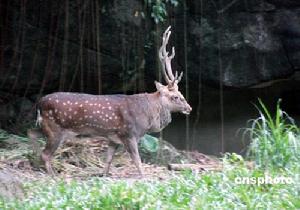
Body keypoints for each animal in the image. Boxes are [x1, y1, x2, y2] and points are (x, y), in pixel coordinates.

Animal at [28, 26, 192, 176]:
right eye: (176, 97)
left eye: (181, 93)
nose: (189, 108)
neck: (148, 116)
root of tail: (39, 103)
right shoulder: (129, 134)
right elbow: (137, 161)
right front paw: (143, 177)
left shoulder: (113, 138)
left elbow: (108, 160)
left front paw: (103, 175)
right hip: (55, 128)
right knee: (45, 153)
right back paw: (52, 175)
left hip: (46, 127)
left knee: (31, 133)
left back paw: (33, 160)